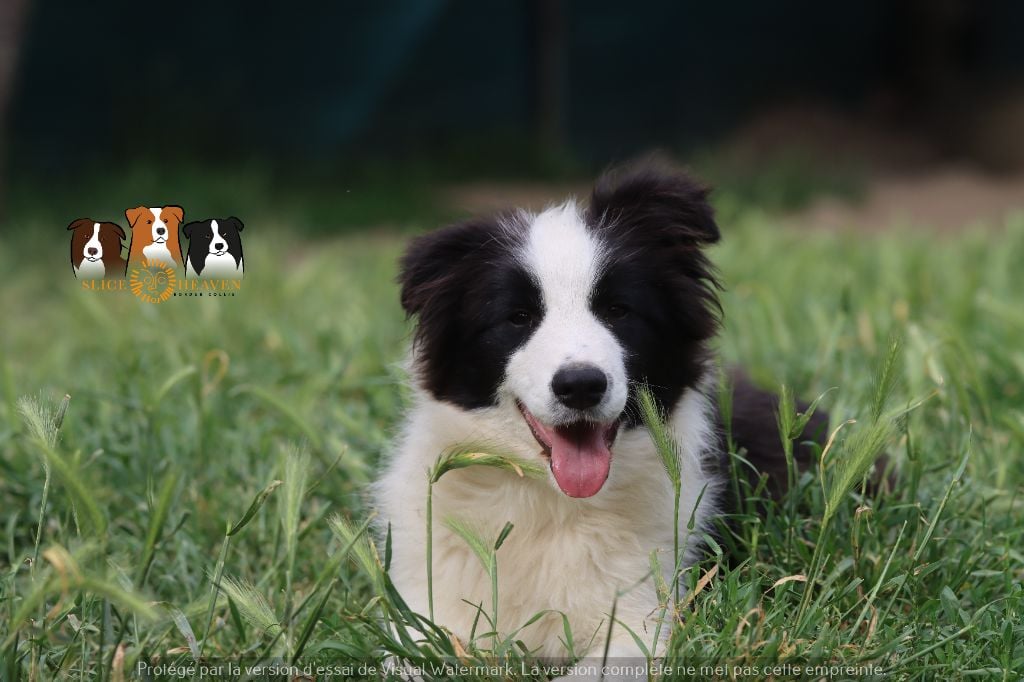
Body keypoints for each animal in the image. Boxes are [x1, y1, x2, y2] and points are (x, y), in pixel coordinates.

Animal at [375, 163, 831, 672]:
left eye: (618, 310)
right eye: (518, 317)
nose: (580, 386)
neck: (552, 503)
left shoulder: (641, 619)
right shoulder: (428, 611)